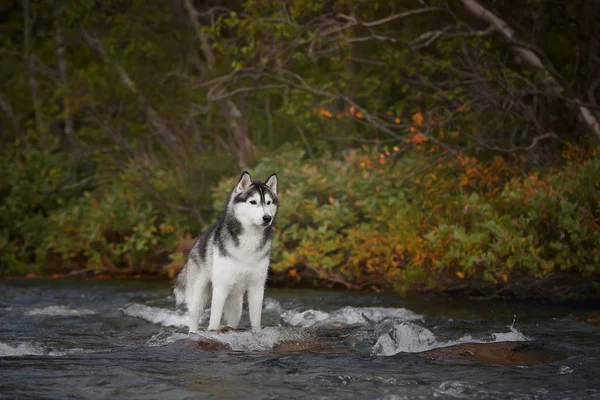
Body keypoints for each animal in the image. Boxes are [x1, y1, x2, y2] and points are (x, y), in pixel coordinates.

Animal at [172, 171, 278, 332]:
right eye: (253, 202)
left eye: (268, 202)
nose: (267, 218)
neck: (249, 240)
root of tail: (197, 241)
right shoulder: (221, 288)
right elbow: (214, 320)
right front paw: (212, 331)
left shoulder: (257, 287)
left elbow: (256, 320)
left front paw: (257, 331)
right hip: (198, 295)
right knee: (194, 315)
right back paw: (193, 332)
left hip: (236, 302)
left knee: (233, 319)